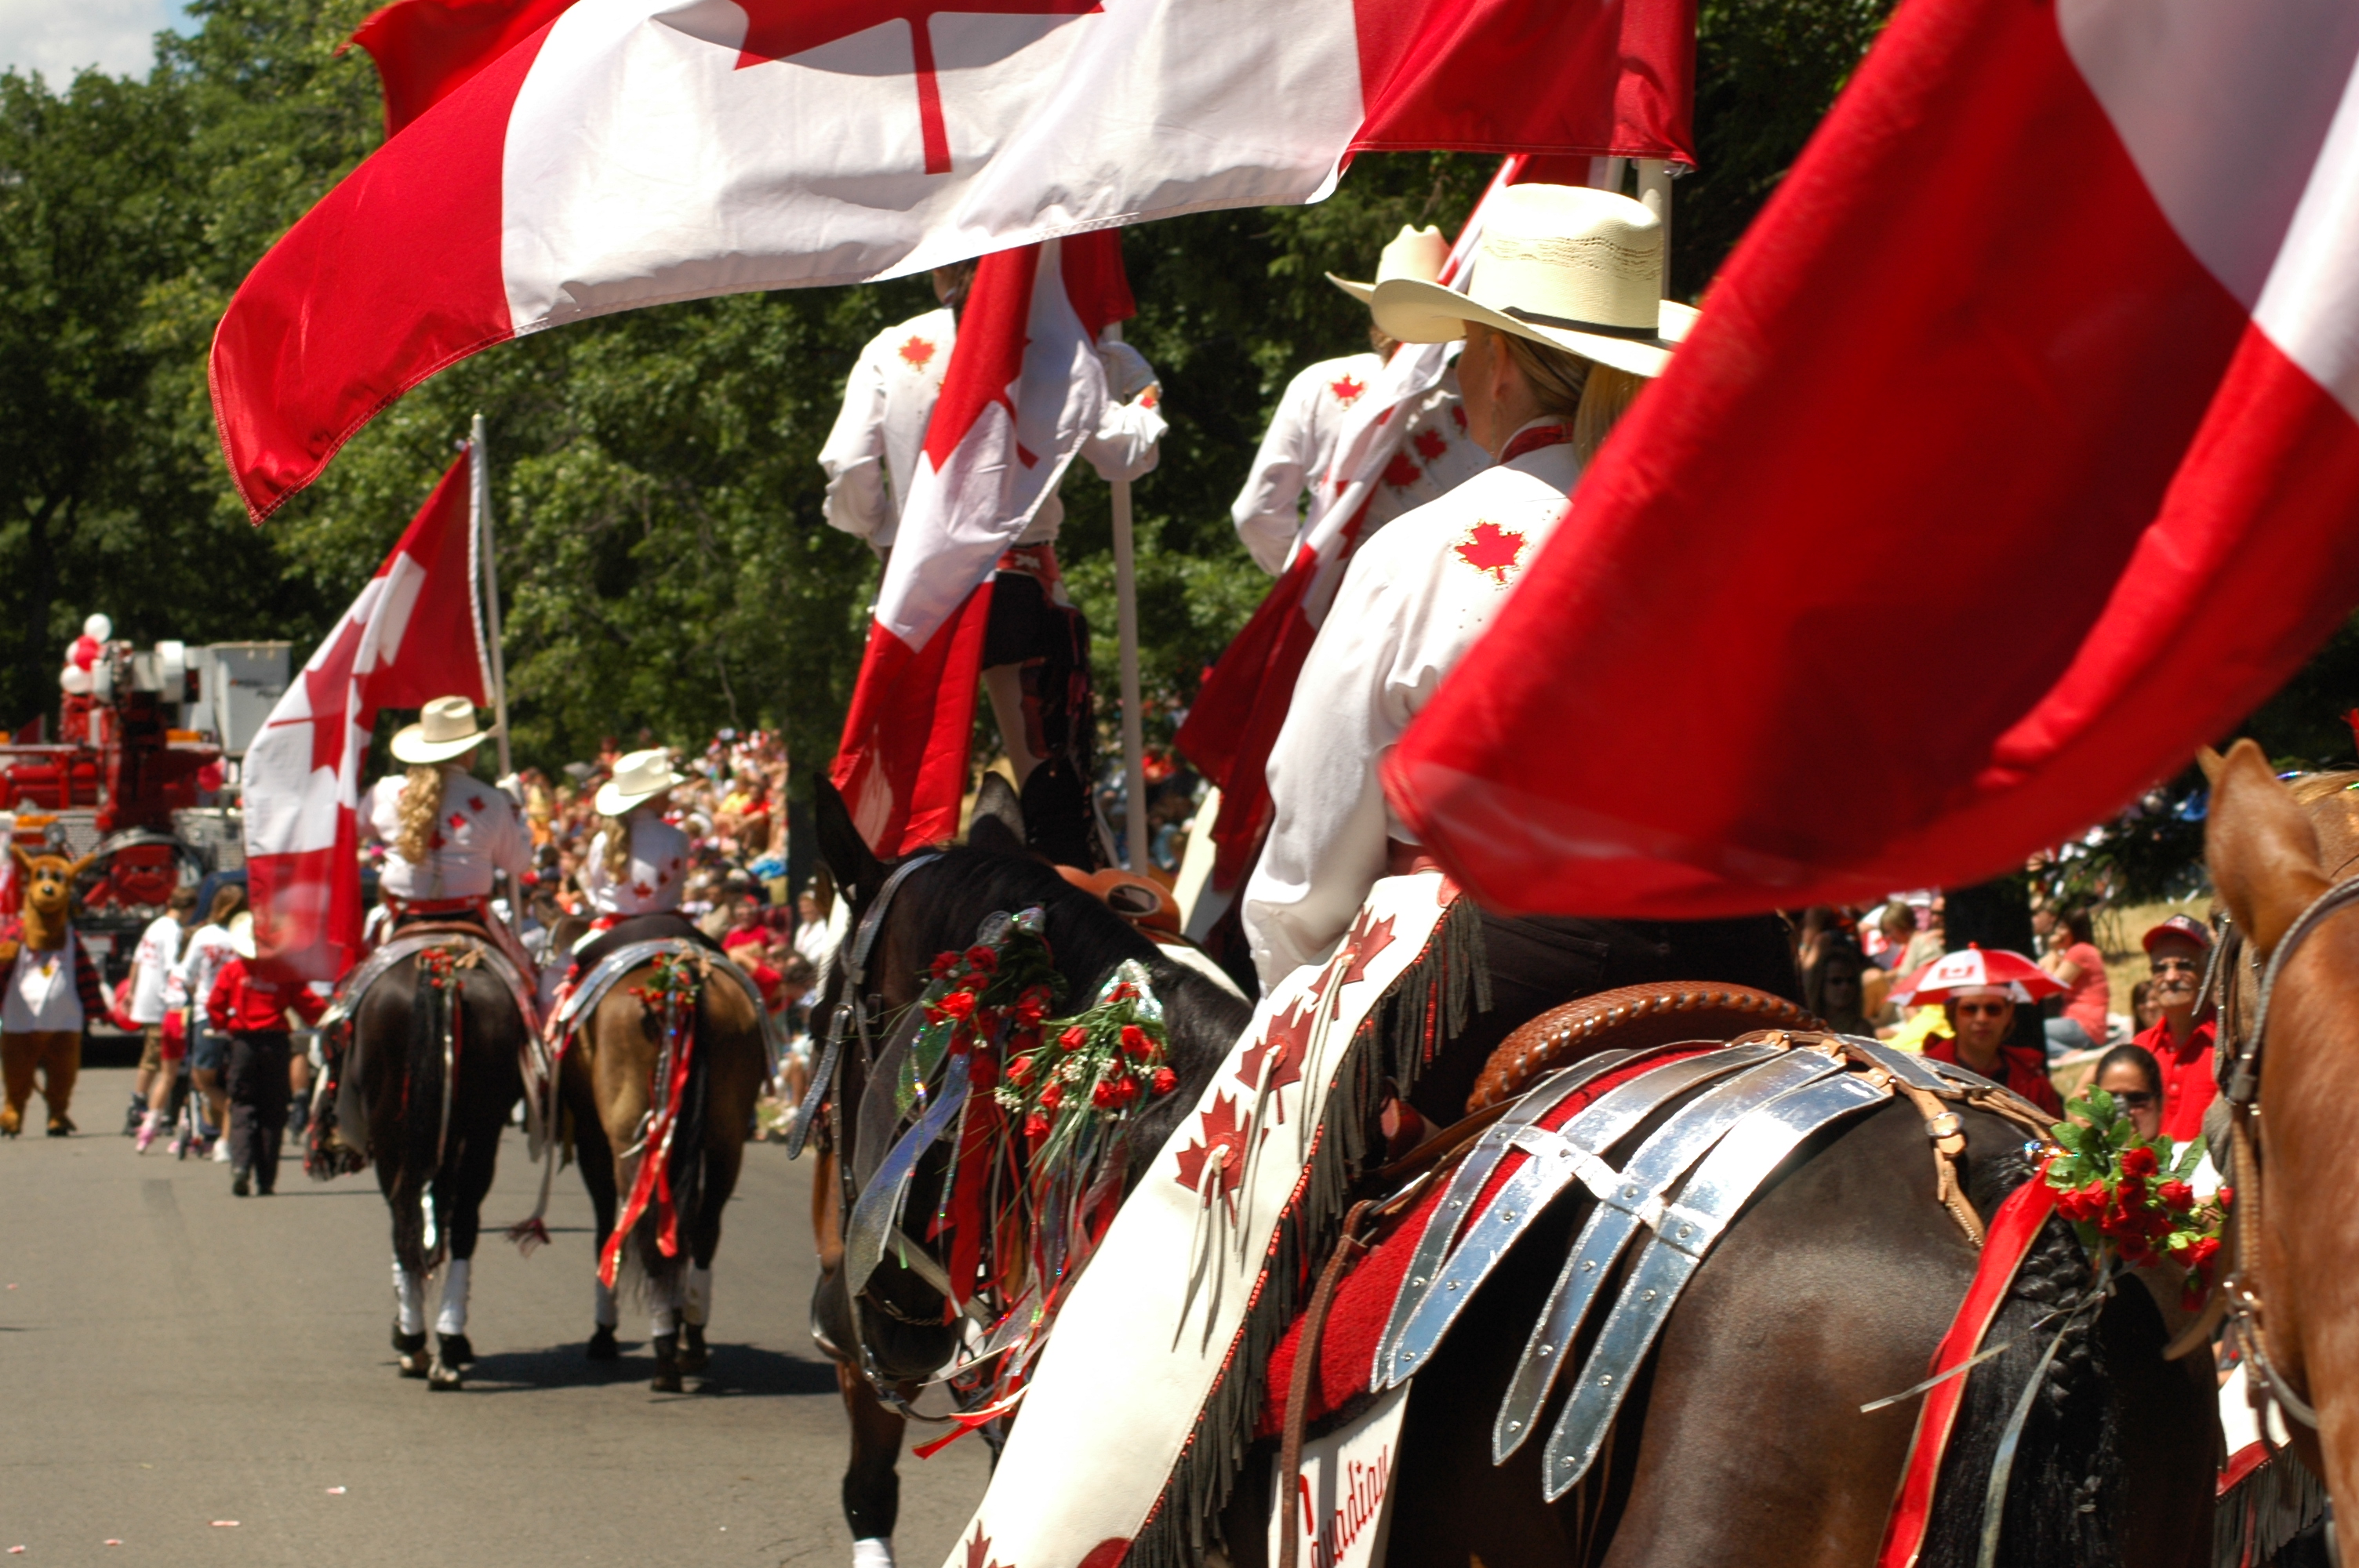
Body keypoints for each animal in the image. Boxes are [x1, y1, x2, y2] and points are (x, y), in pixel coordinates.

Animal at [556, 919, 769, 1396]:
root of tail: (681, 977)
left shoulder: (595, 1143)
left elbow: (606, 1231)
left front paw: (605, 1333)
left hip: (630, 1135)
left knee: (651, 1240)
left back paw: (665, 1352)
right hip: (726, 1138)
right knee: (703, 1230)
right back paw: (692, 1339)